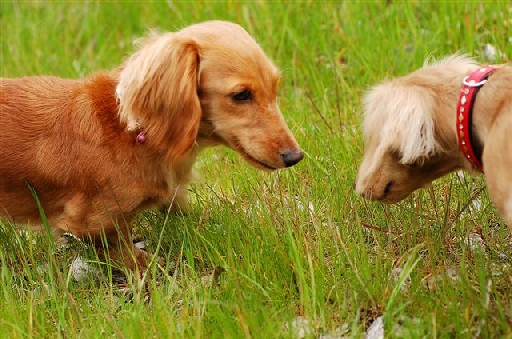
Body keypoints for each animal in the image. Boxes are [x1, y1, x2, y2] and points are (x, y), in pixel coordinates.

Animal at [0, 20, 302, 270]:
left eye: (275, 87)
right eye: (240, 95)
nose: (295, 156)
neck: (130, 131)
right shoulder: (93, 223)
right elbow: (133, 255)